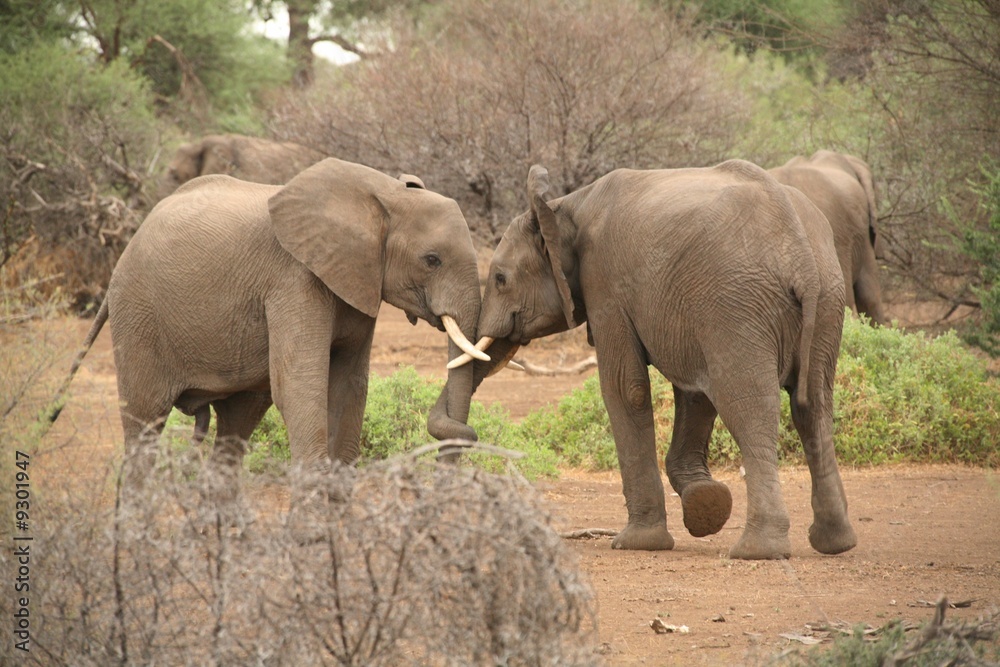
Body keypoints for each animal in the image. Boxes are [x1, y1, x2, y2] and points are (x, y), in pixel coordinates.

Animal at [64, 158, 486, 496]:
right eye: (432, 260)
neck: (382, 192)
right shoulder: (294, 278)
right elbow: (300, 385)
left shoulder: (357, 281)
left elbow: (350, 386)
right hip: (138, 316)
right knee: (145, 424)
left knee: (236, 428)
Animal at [440, 160, 860, 560]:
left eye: (499, 279)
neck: (565, 204)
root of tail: (800, 254)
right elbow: (694, 390)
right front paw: (705, 503)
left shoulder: (606, 285)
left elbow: (625, 389)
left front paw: (636, 542)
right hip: (827, 299)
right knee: (814, 406)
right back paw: (834, 543)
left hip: (741, 304)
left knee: (748, 404)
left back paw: (758, 550)